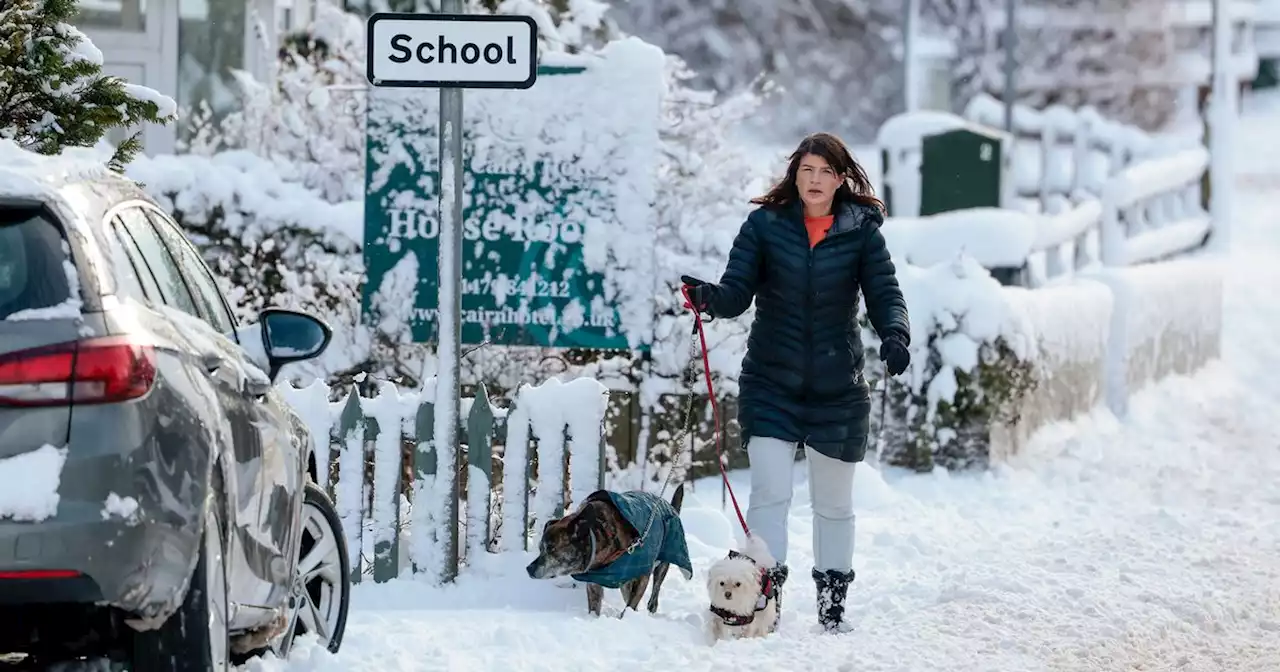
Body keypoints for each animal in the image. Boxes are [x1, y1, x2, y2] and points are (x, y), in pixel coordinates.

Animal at [527, 481, 696, 619]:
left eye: (551, 548)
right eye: (540, 548)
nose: (529, 568)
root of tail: (671, 507)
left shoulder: (642, 576)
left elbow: (630, 605)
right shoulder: (594, 582)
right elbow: (594, 606)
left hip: (663, 564)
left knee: (655, 593)